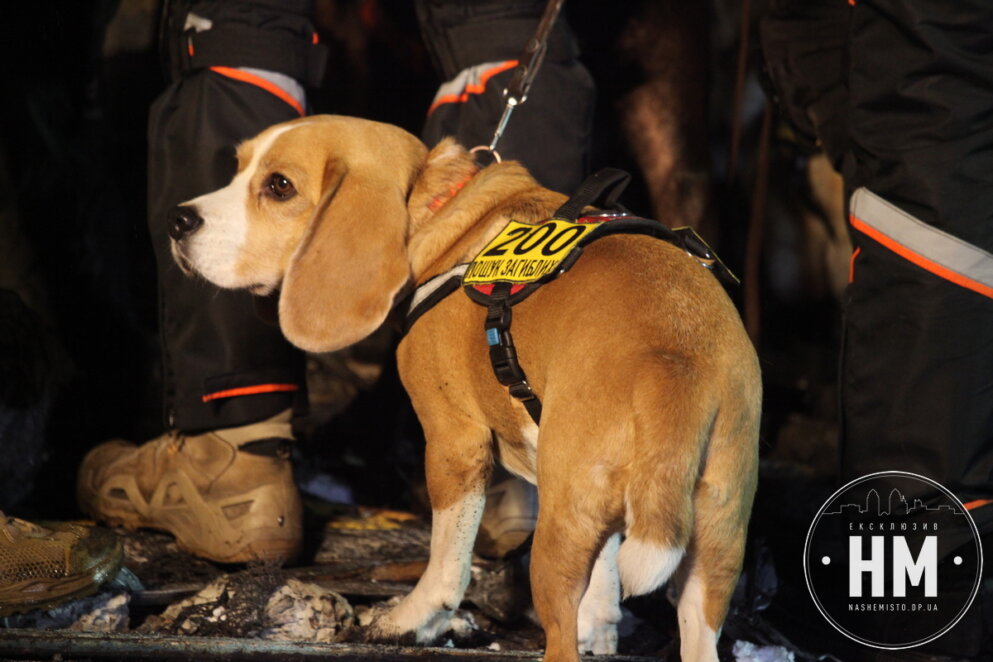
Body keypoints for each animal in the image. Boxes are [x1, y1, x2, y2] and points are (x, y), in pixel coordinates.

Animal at [170, 115, 760, 662]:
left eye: (280, 186)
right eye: (238, 167)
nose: (178, 220)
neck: (442, 214)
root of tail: (675, 362)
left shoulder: (454, 442)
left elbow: (446, 563)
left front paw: (411, 619)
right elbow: (605, 581)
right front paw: (602, 626)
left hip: (558, 534)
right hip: (714, 548)